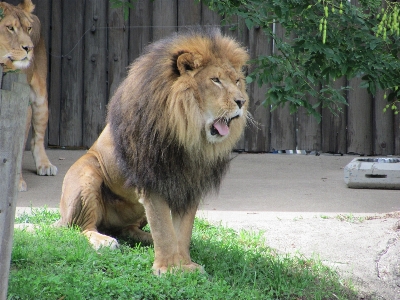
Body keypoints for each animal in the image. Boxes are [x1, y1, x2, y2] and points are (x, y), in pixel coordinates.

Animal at [0, 0, 57, 191]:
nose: (29, 48)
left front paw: (17, 183)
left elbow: (16, 148)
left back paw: (45, 165)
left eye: (29, 28)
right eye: (10, 28)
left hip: (39, 99)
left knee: (36, 139)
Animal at [57, 28, 248, 274]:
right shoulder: (152, 180)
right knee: (81, 227)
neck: (187, 134)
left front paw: (185, 264)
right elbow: (163, 227)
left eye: (237, 81)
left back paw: (148, 239)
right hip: (87, 174)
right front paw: (167, 269)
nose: (242, 101)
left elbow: (182, 231)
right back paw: (103, 241)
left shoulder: (189, 184)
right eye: (215, 80)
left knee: (127, 229)